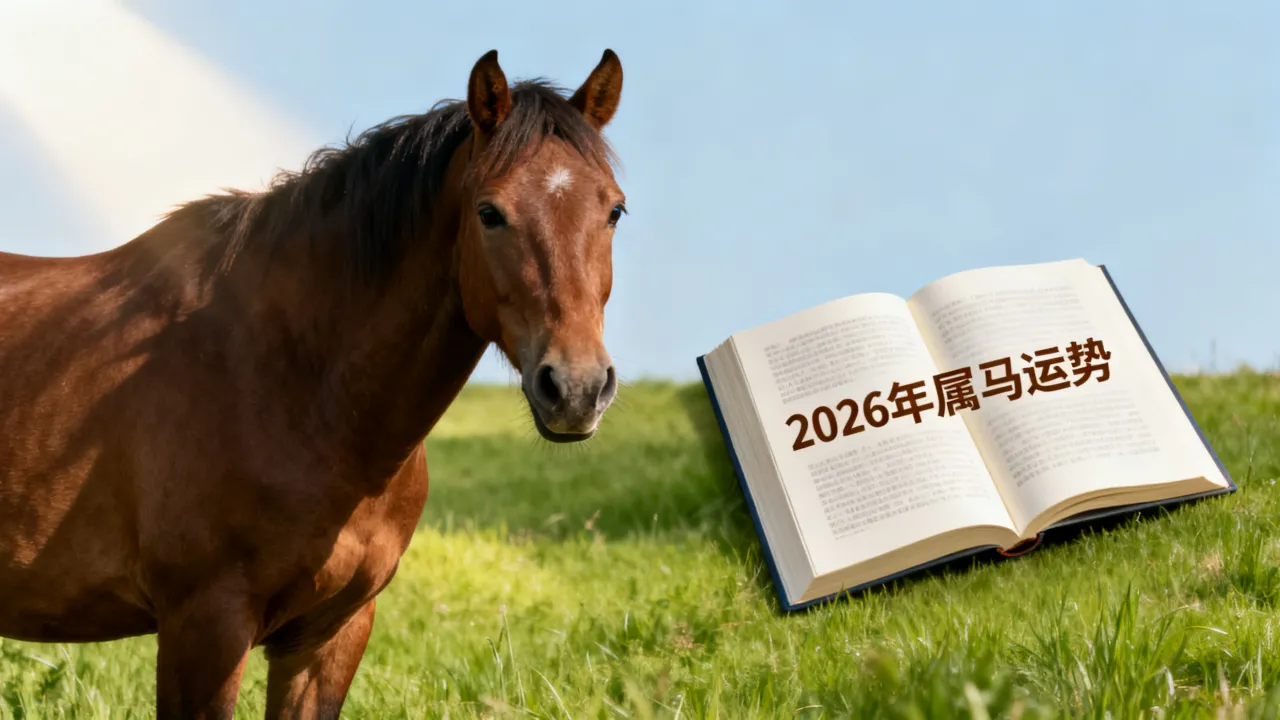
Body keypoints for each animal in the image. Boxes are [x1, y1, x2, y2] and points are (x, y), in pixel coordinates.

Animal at [0, 48, 626, 718]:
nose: (577, 387)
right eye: (490, 213)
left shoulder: (329, 633)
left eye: (613, 210)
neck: (302, 391)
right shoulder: (205, 627)